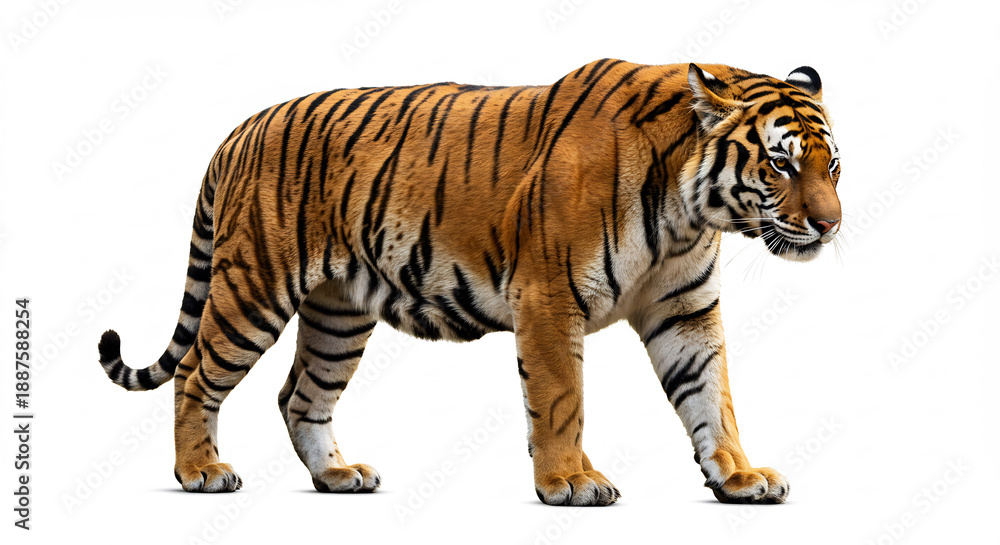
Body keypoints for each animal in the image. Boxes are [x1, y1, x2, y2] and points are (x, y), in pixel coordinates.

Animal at [97, 58, 841, 506]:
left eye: (831, 165)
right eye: (779, 163)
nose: (831, 225)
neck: (688, 211)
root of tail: (241, 128)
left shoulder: (684, 310)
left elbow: (713, 397)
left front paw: (739, 475)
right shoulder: (549, 298)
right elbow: (561, 400)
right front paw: (570, 481)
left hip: (338, 315)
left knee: (299, 395)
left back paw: (338, 474)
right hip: (253, 287)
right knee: (195, 372)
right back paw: (200, 472)